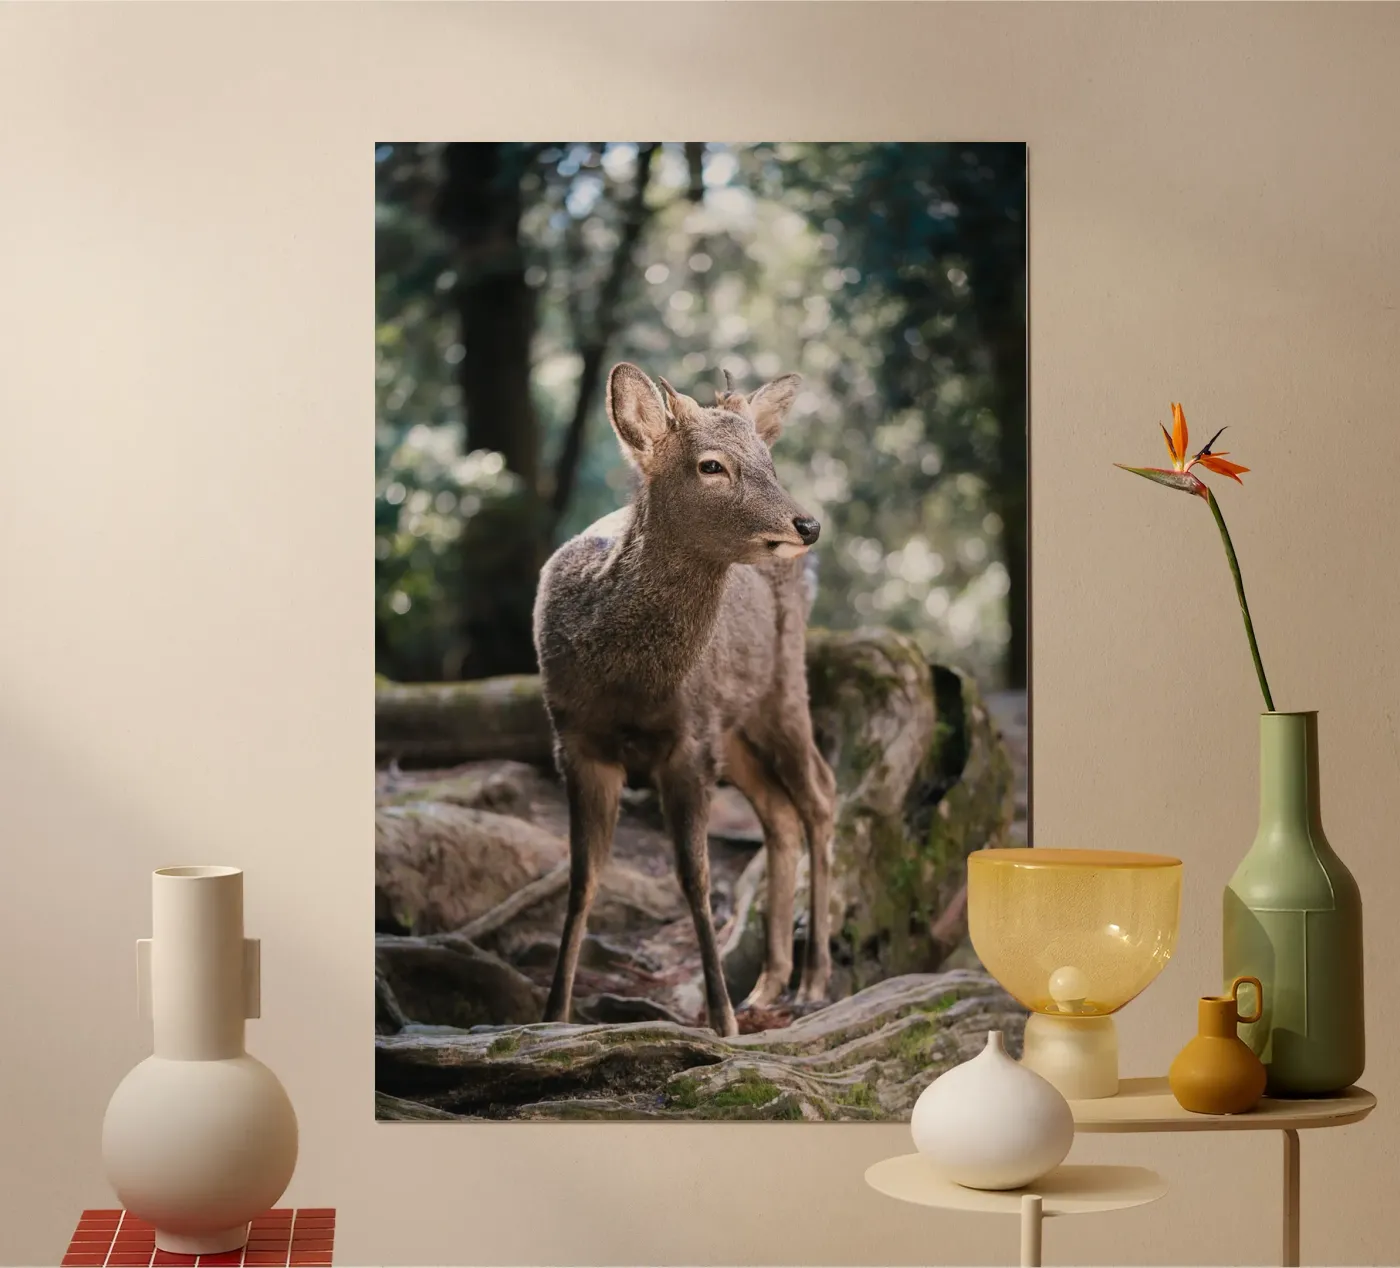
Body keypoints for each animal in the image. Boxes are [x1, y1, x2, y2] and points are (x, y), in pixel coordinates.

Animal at [533, 361, 838, 1037]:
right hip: (734, 724)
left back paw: (812, 981)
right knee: (779, 811)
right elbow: (582, 879)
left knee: (820, 795)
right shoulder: (574, 739)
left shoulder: (689, 740)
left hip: (782, 685)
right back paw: (768, 984)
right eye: (711, 465)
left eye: (769, 460)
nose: (807, 524)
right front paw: (553, 1015)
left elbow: (695, 877)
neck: (631, 681)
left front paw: (720, 1021)